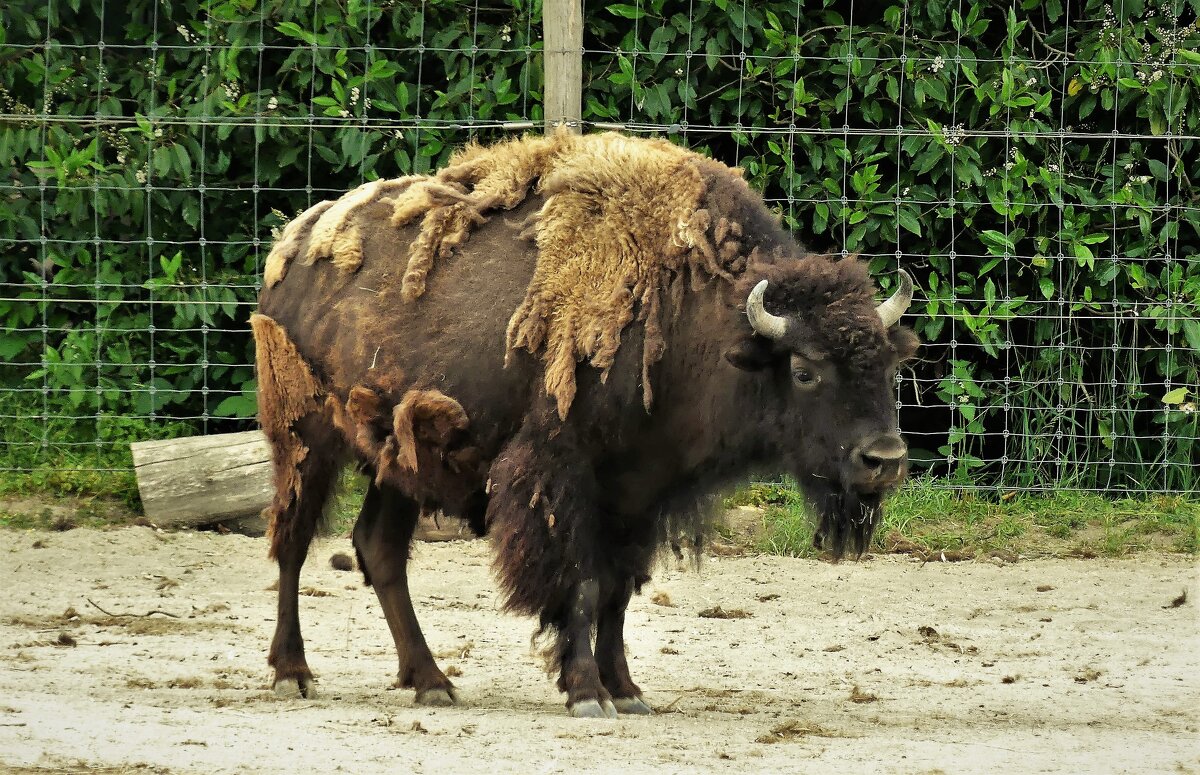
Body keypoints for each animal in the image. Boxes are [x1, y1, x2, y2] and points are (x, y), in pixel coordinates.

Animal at [248, 130, 912, 719]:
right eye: (804, 370)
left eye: (887, 364)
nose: (884, 460)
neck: (691, 318)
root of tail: (296, 244)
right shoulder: (563, 476)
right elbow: (581, 586)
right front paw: (588, 693)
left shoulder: (638, 493)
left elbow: (617, 592)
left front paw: (628, 691)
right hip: (305, 441)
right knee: (293, 539)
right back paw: (292, 674)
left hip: (402, 454)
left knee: (379, 547)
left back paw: (431, 682)